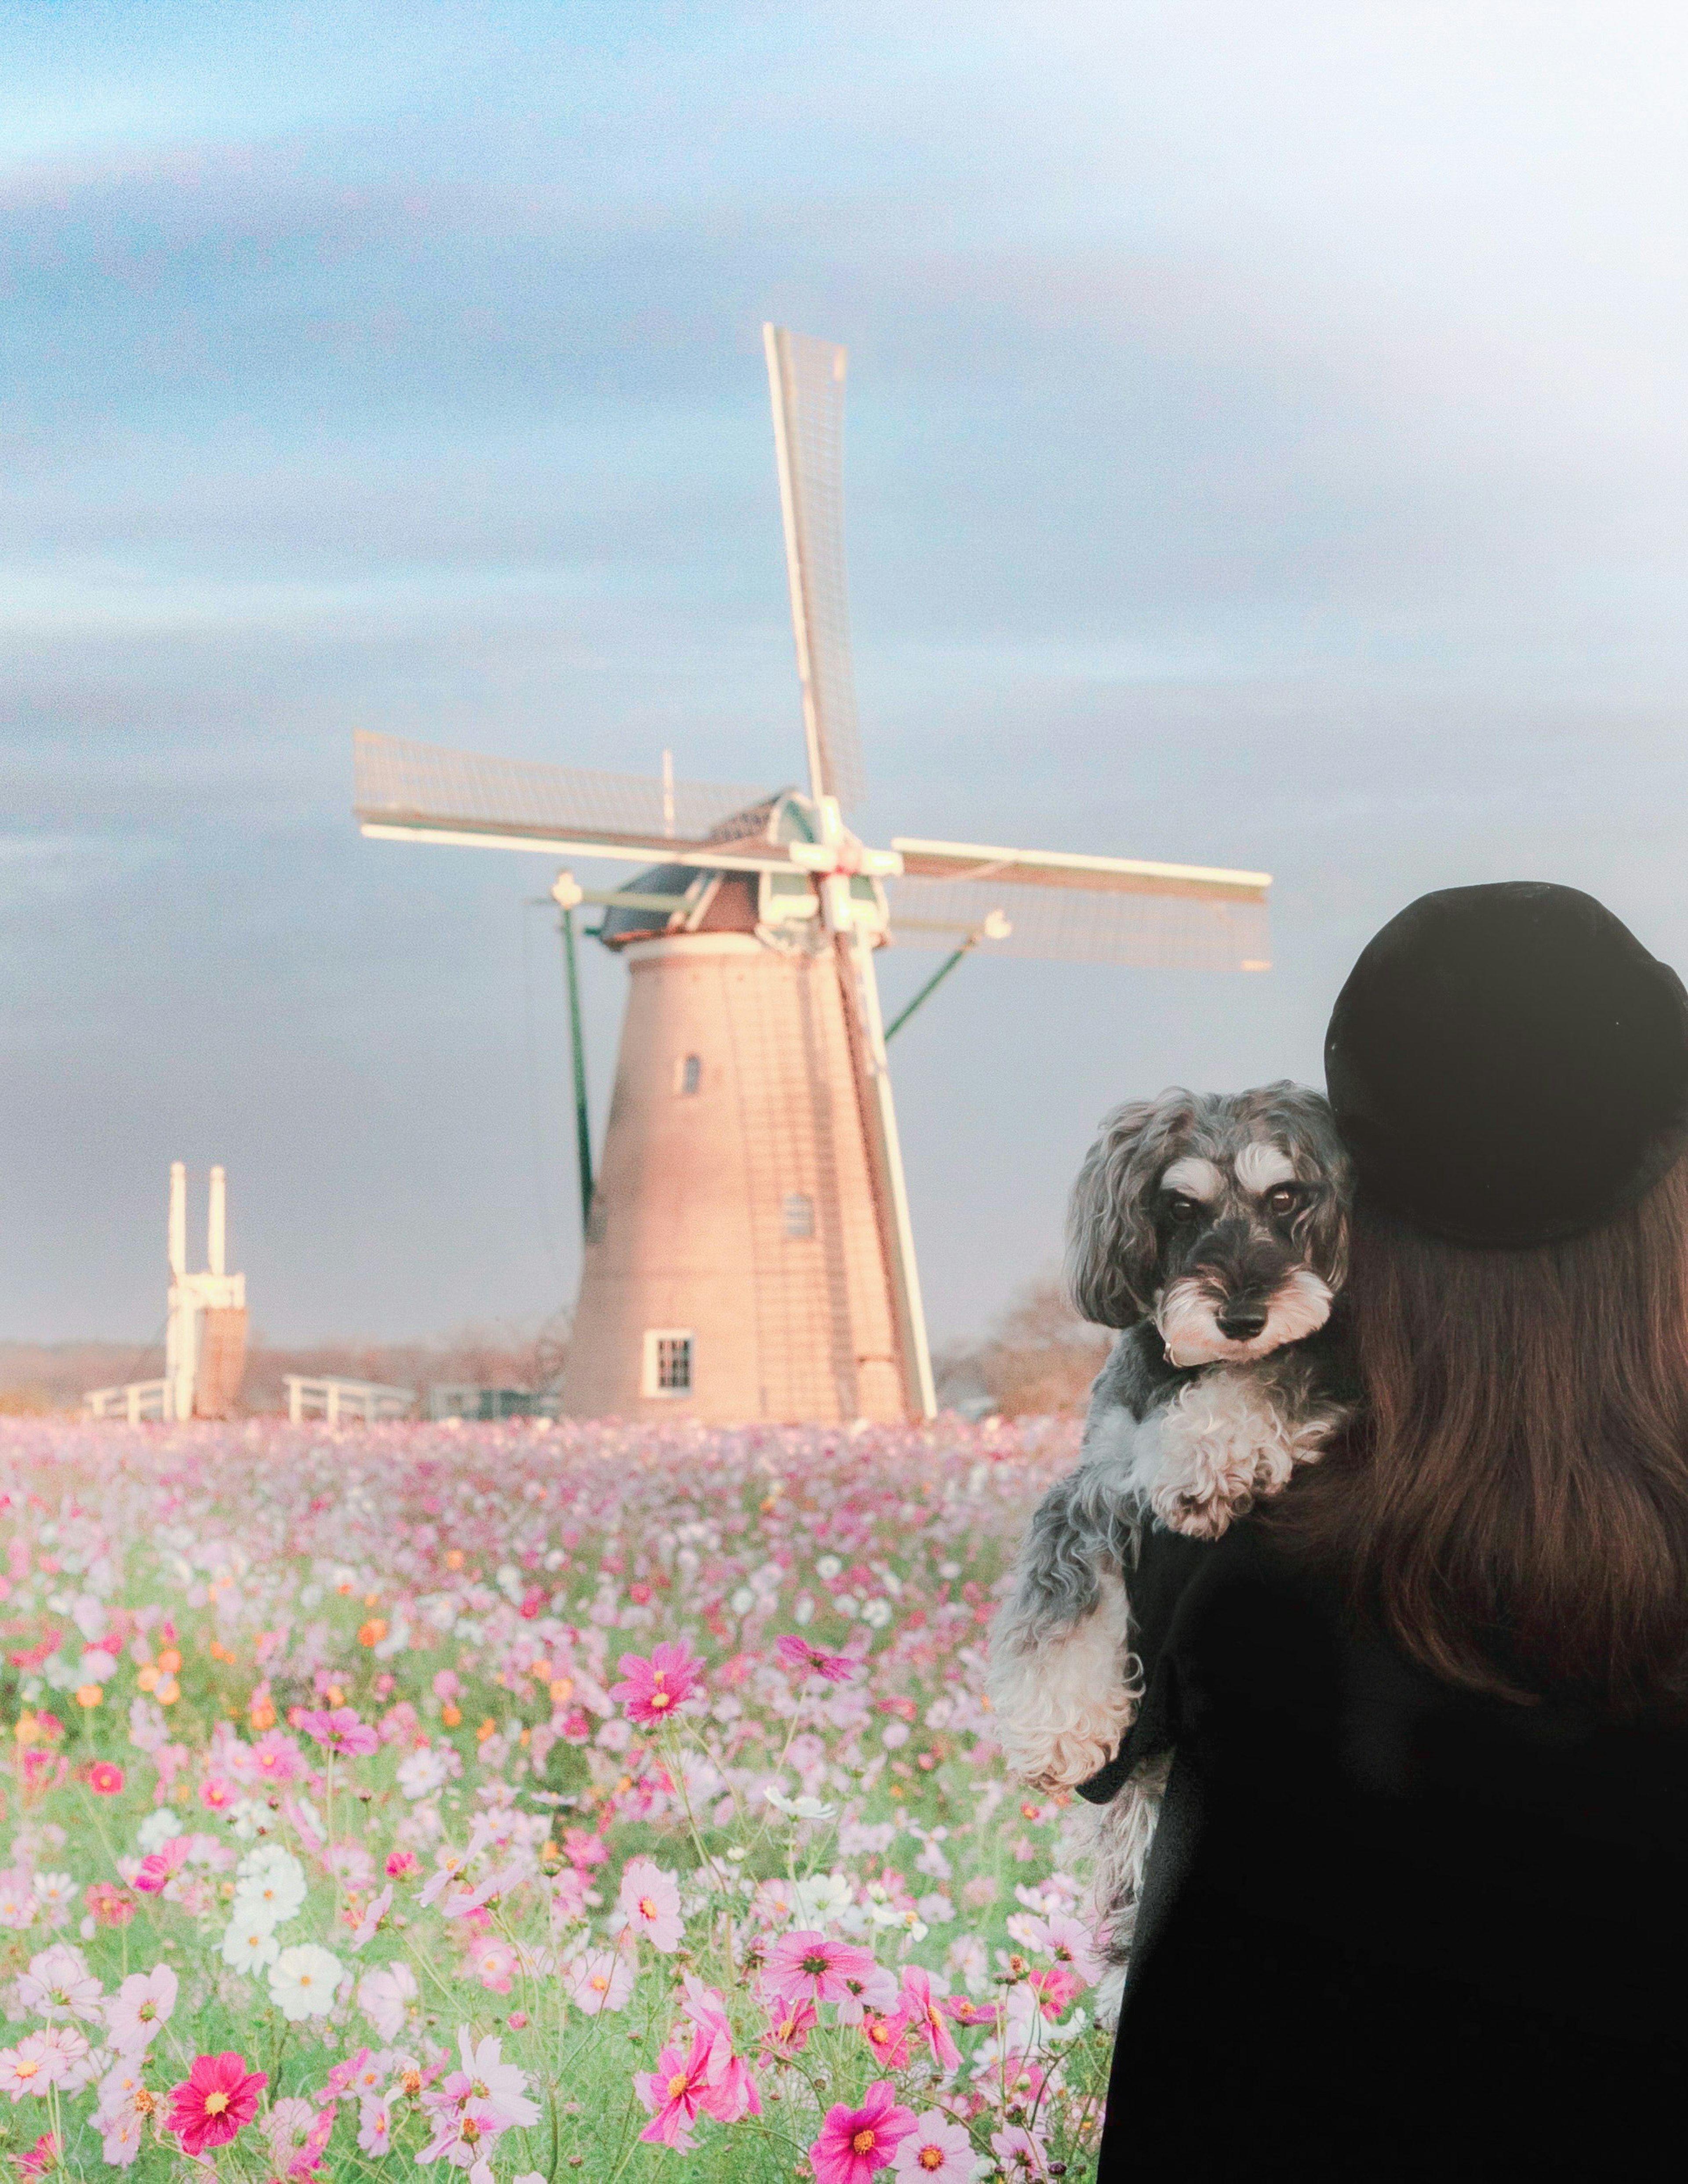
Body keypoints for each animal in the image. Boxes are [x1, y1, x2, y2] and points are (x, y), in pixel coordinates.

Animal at [982, 1083, 1353, 2018]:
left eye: (1287, 1196)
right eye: (1179, 1206)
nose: (1243, 1316)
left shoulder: (1326, 1371)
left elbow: (1266, 1376)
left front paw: (1203, 1456)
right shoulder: (1087, 1491)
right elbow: (1059, 1610)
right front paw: (1059, 1732)